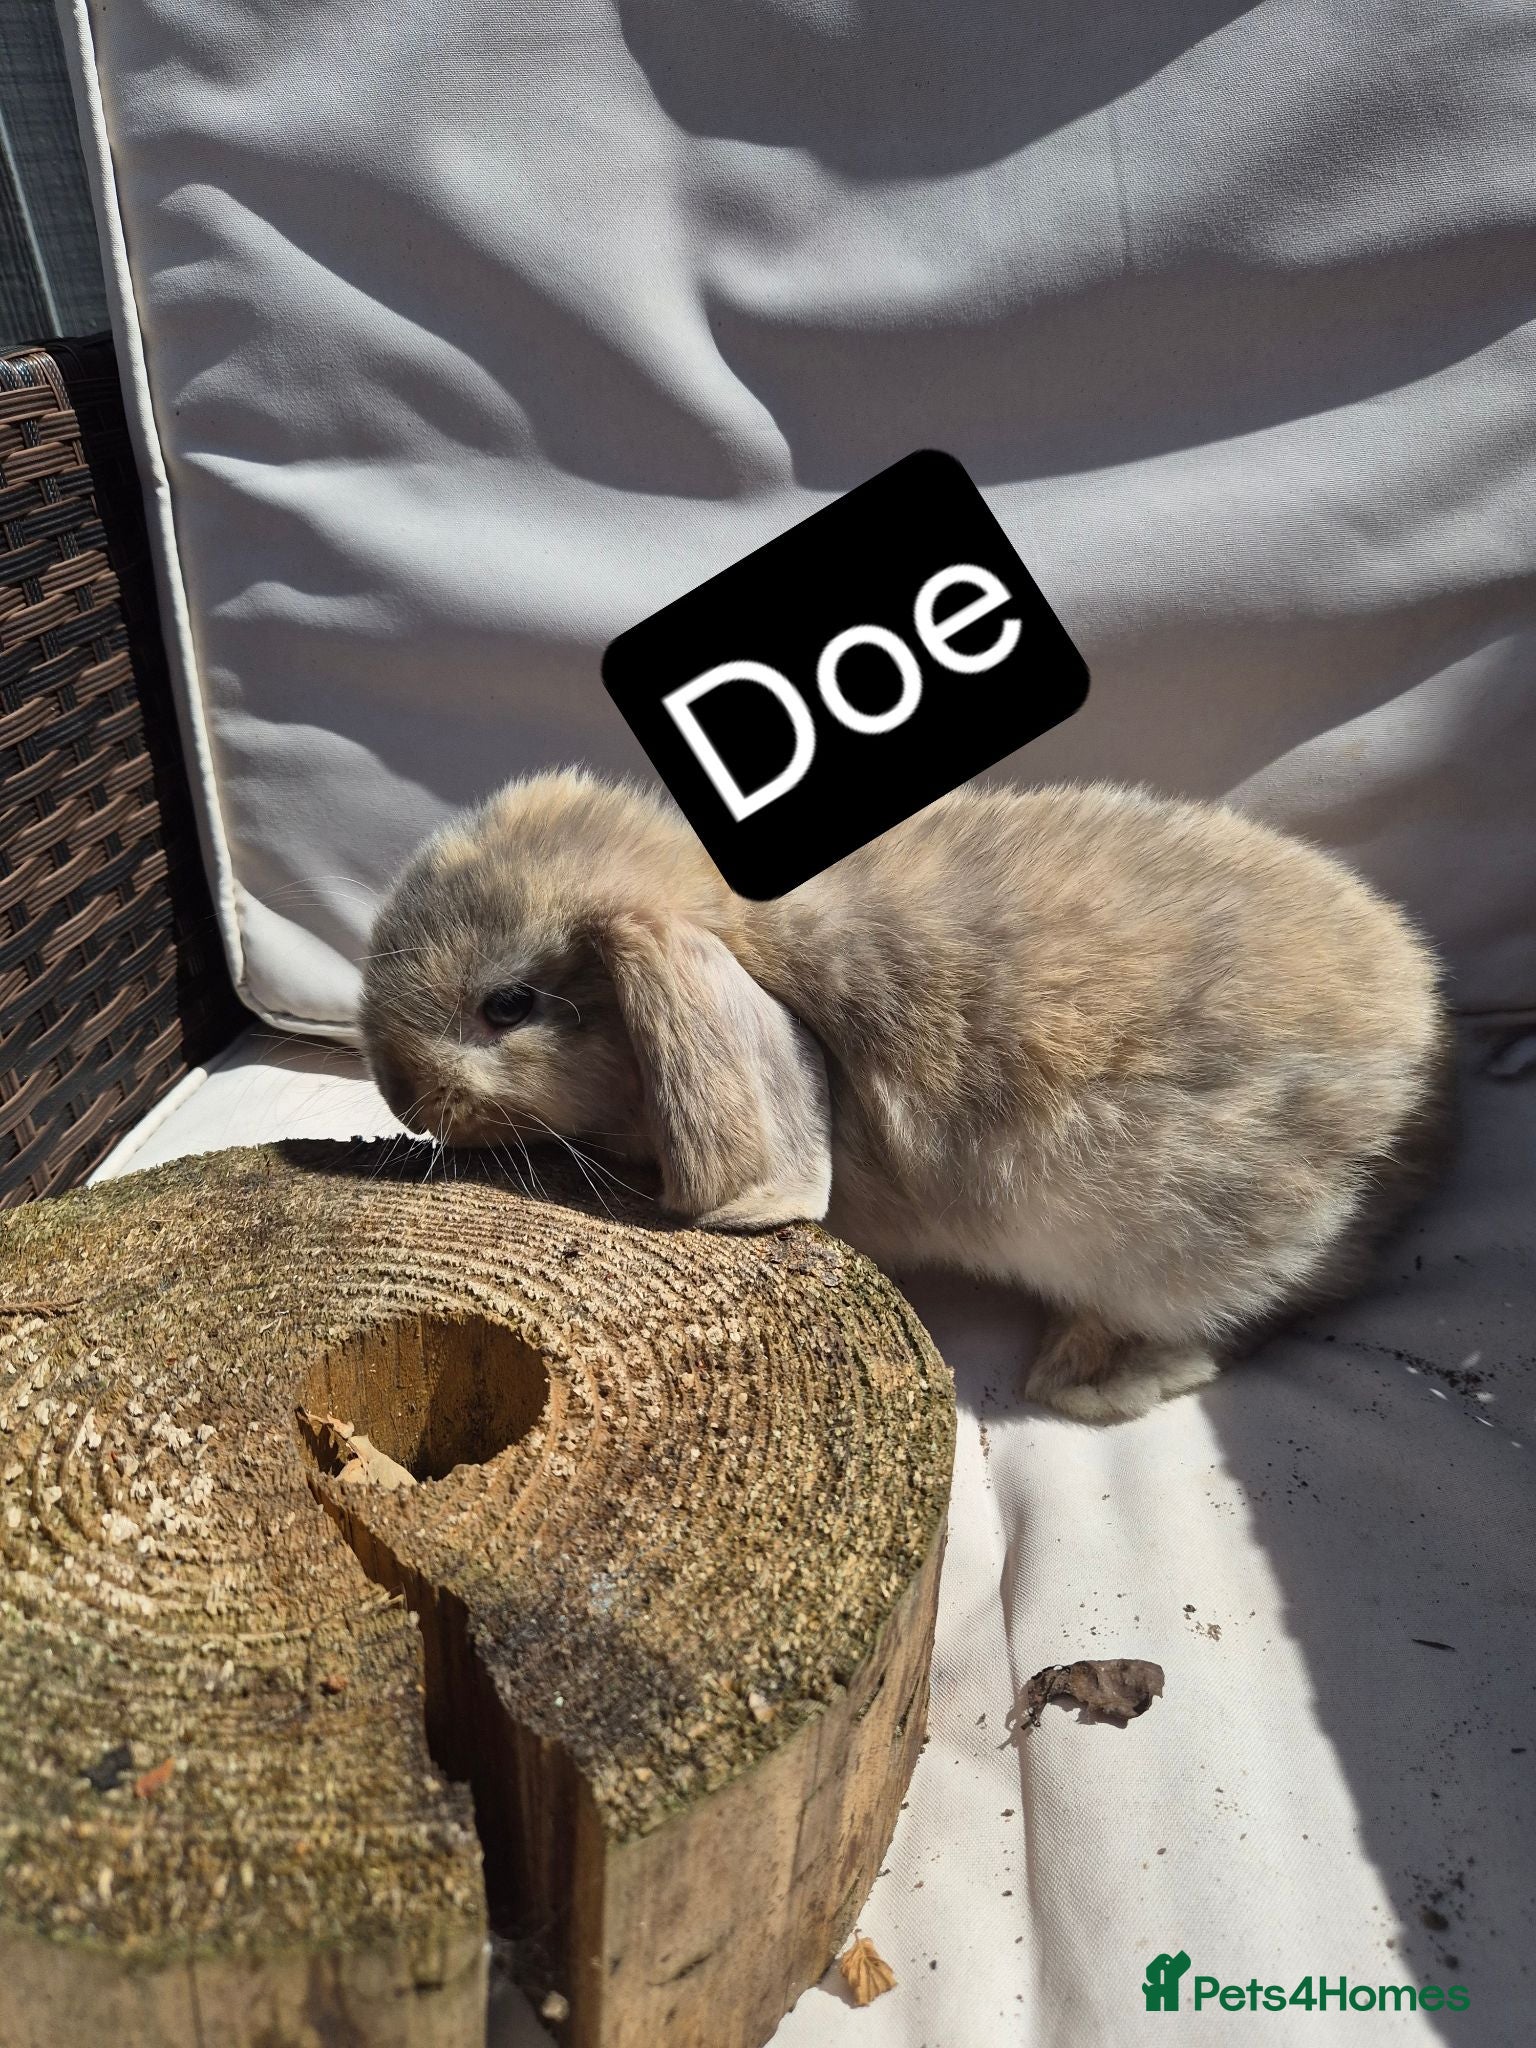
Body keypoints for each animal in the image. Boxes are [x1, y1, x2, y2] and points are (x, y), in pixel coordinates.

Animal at [359, 769, 1453, 1422]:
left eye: (509, 1003)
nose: (400, 1095)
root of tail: (1429, 1077)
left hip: (1185, 1240)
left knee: (1240, 1315)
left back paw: (1090, 1375)